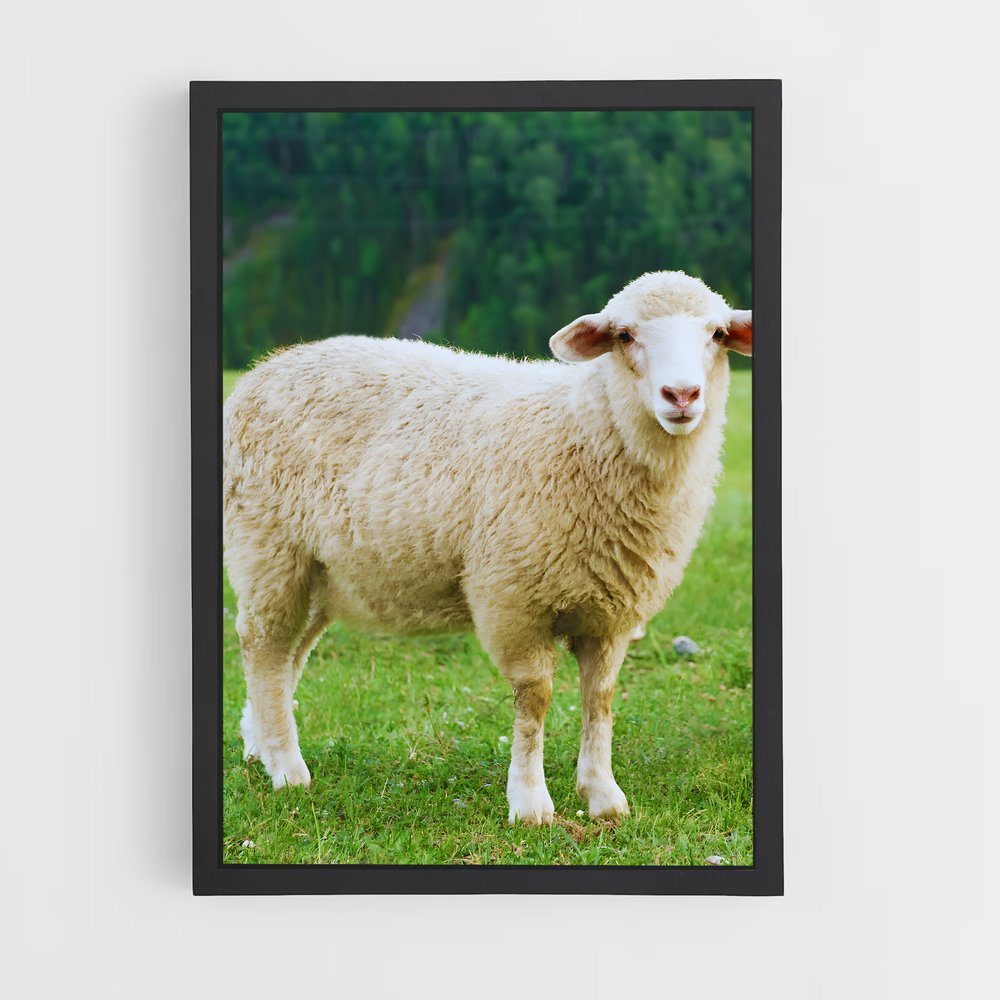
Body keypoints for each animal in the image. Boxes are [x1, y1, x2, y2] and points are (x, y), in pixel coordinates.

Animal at [223, 270, 752, 825]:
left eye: (717, 334)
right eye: (625, 335)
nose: (682, 395)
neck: (584, 433)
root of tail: (267, 367)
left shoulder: (612, 614)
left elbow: (600, 698)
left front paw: (603, 795)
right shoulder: (512, 598)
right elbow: (535, 697)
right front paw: (530, 802)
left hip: (321, 573)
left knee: (289, 655)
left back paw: (260, 745)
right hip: (267, 548)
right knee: (263, 647)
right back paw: (287, 769)